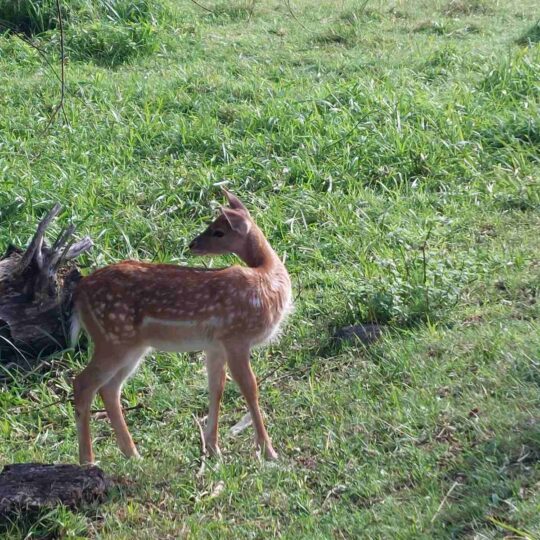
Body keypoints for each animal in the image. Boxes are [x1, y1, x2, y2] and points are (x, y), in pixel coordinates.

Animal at [70, 190, 292, 465]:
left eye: (218, 231)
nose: (192, 245)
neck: (267, 277)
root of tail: (78, 293)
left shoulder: (216, 344)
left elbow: (216, 388)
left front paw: (213, 449)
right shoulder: (236, 337)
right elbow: (250, 388)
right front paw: (269, 451)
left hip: (130, 346)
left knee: (109, 389)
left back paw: (133, 454)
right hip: (113, 339)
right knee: (83, 384)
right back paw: (88, 460)